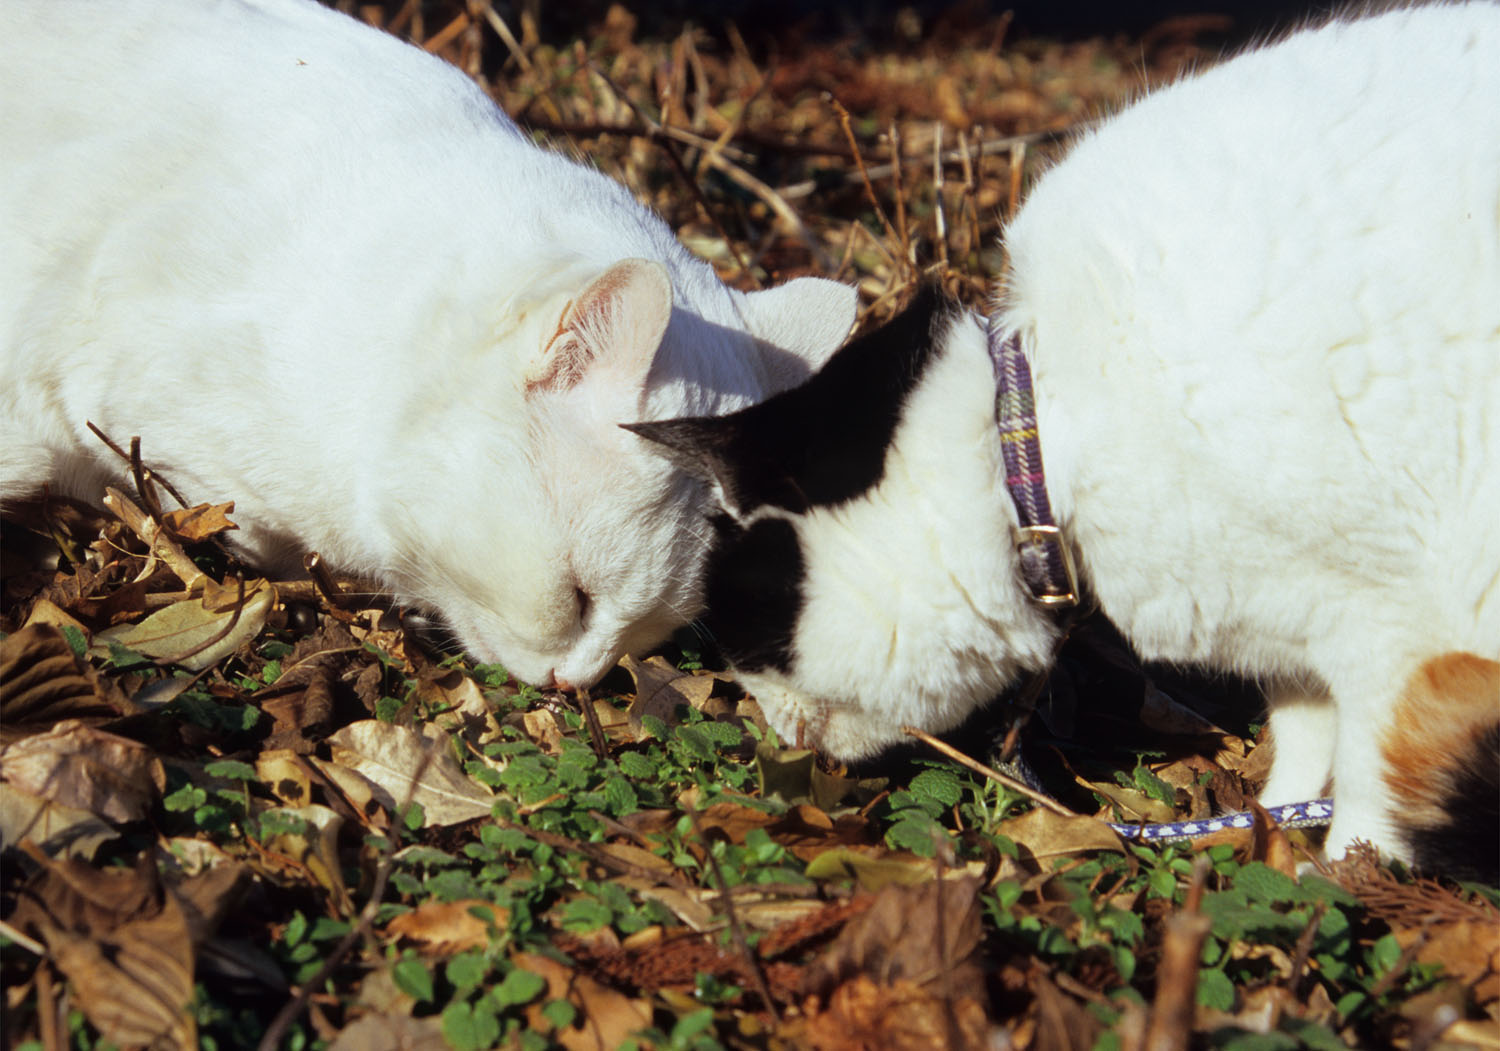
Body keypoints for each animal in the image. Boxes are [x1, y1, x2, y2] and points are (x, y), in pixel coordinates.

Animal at [630, 4, 1500, 881]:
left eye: (755, 639)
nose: (771, 733)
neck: (1041, 441)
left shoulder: (1392, 636)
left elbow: (1370, 783)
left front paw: (1342, 877)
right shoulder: (1305, 631)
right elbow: (1303, 738)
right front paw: (1266, 837)